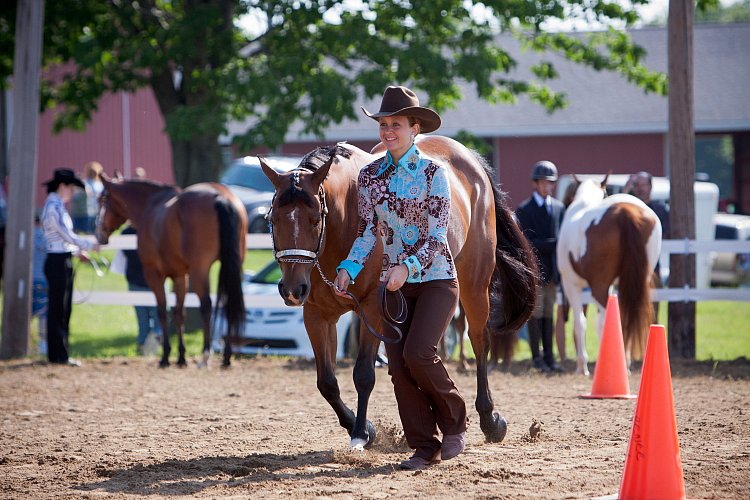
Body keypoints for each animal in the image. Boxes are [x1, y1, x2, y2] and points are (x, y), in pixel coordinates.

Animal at [95, 175, 248, 368]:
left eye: (101, 200)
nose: (98, 233)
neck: (150, 206)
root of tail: (220, 196)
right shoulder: (180, 276)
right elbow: (179, 313)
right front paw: (181, 357)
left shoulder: (153, 274)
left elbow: (162, 311)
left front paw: (165, 356)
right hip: (233, 265)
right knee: (228, 304)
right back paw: (226, 357)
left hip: (200, 270)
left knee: (206, 305)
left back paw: (205, 356)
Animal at [262, 137, 536, 450]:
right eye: (273, 219)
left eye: (314, 218)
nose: (292, 290)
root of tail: (470, 160)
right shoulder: (317, 315)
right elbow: (327, 382)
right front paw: (363, 426)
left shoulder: (372, 309)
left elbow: (364, 374)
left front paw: (360, 433)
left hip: (474, 285)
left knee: (479, 342)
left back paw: (489, 420)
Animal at [560, 176, 664, 376]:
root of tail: (624, 211)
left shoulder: (571, 284)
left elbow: (580, 322)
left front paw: (582, 365)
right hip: (636, 283)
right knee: (627, 317)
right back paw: (625, 363)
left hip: (599, 286)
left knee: (603, 321)